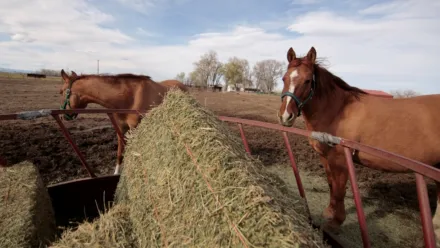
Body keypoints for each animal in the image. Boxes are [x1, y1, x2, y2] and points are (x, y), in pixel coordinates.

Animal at [58, 69, 187, 174]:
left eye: (62, 91)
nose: (64, 116)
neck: (129, 98)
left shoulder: (135, 129)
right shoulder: (121, 128)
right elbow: (120, 153)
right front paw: (116, 173)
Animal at [280, 46, 440, 238]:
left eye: (307, 80)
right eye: (284, 78)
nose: (286, 116)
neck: (338, 110)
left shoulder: (341, 160)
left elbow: (340, 189)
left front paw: (336, 222)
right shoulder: (325, 158)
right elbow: (331, 184)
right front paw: (329, 211)